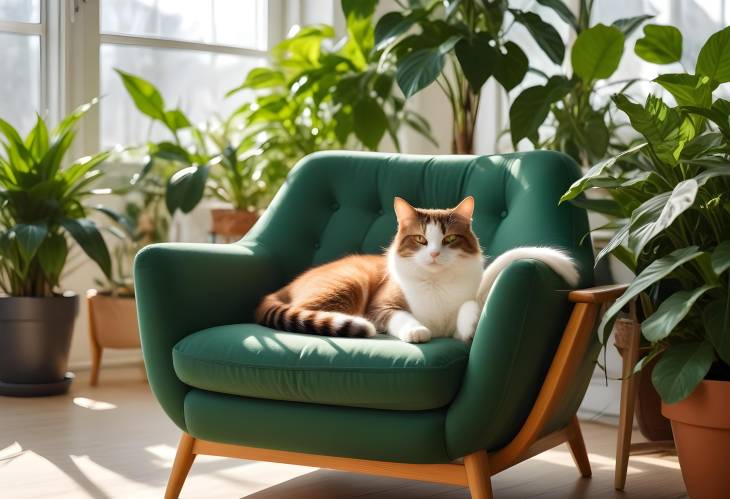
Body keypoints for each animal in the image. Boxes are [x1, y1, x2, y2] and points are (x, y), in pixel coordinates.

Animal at [253, 197, 576, 346]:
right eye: (421, 239)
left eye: (449, 239)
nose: (433, 253)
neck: (436, 284)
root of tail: (282, 288)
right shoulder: (380, 306)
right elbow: (401, 316)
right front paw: (417, 331)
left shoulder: (468, 299)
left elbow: (469, 306)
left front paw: (469, 327)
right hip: (350, 281)